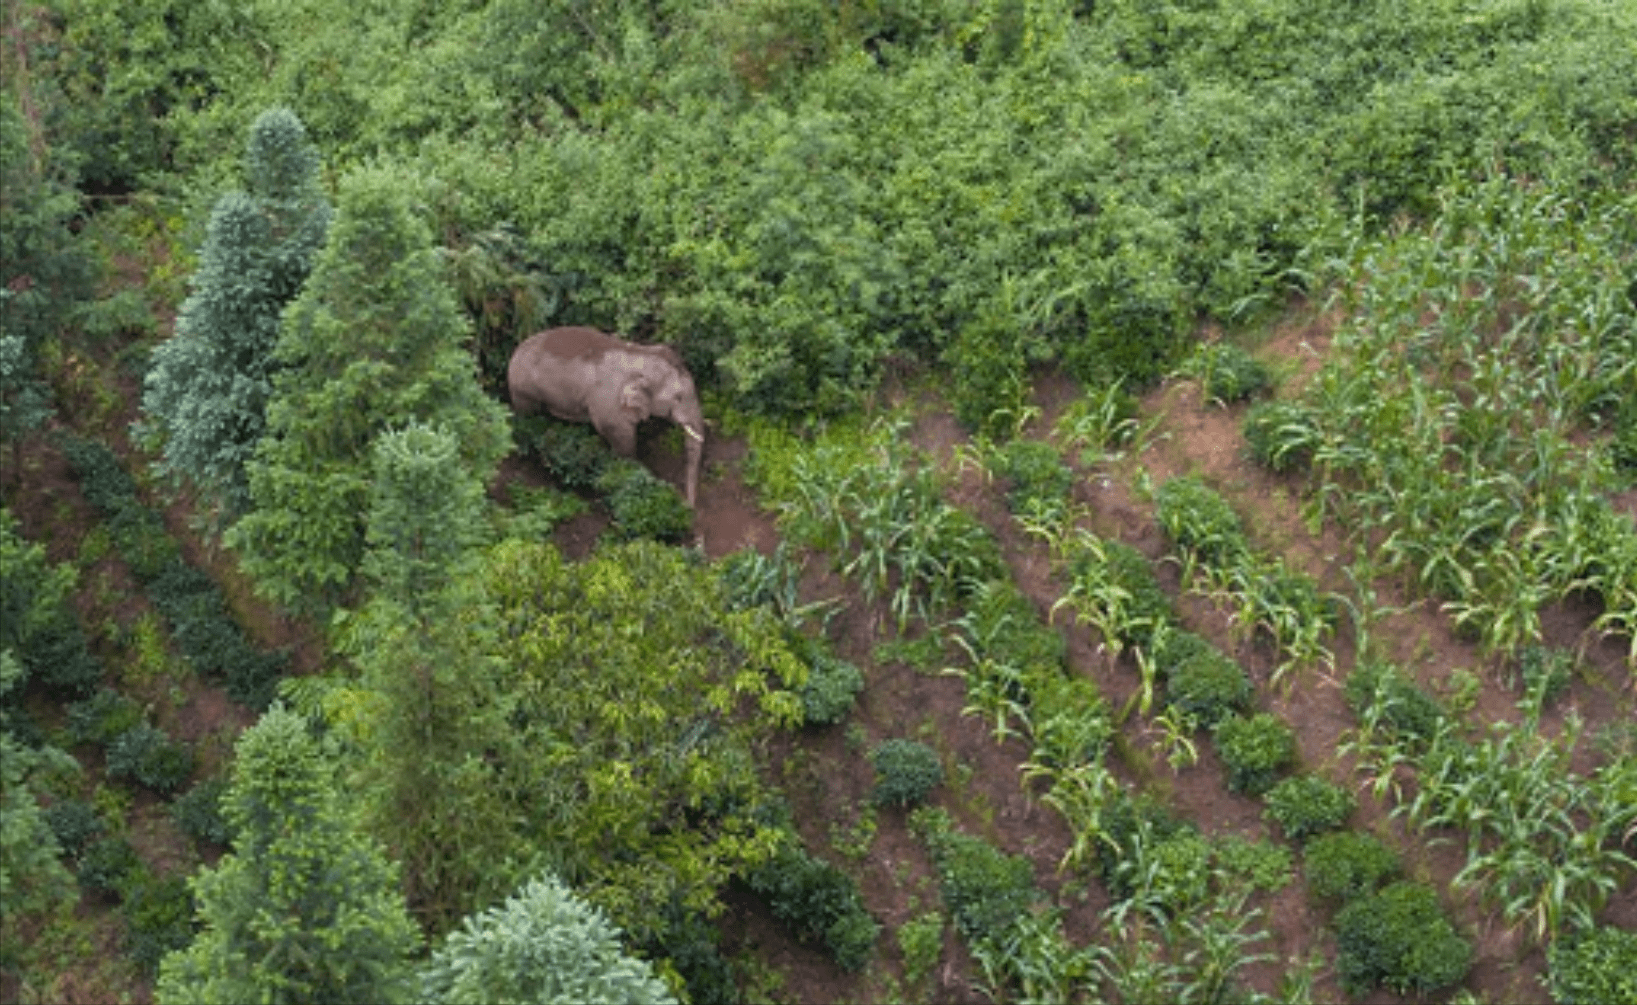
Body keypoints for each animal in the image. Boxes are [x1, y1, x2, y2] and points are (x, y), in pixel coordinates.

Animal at [500, 328, 700, 507]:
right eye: (678, 397)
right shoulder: (608, 403)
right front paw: (630, 471)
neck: (640, 354)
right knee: (530, 417)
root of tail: (515, 351)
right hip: (523, 390)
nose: (688, 505)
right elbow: (620, 437)